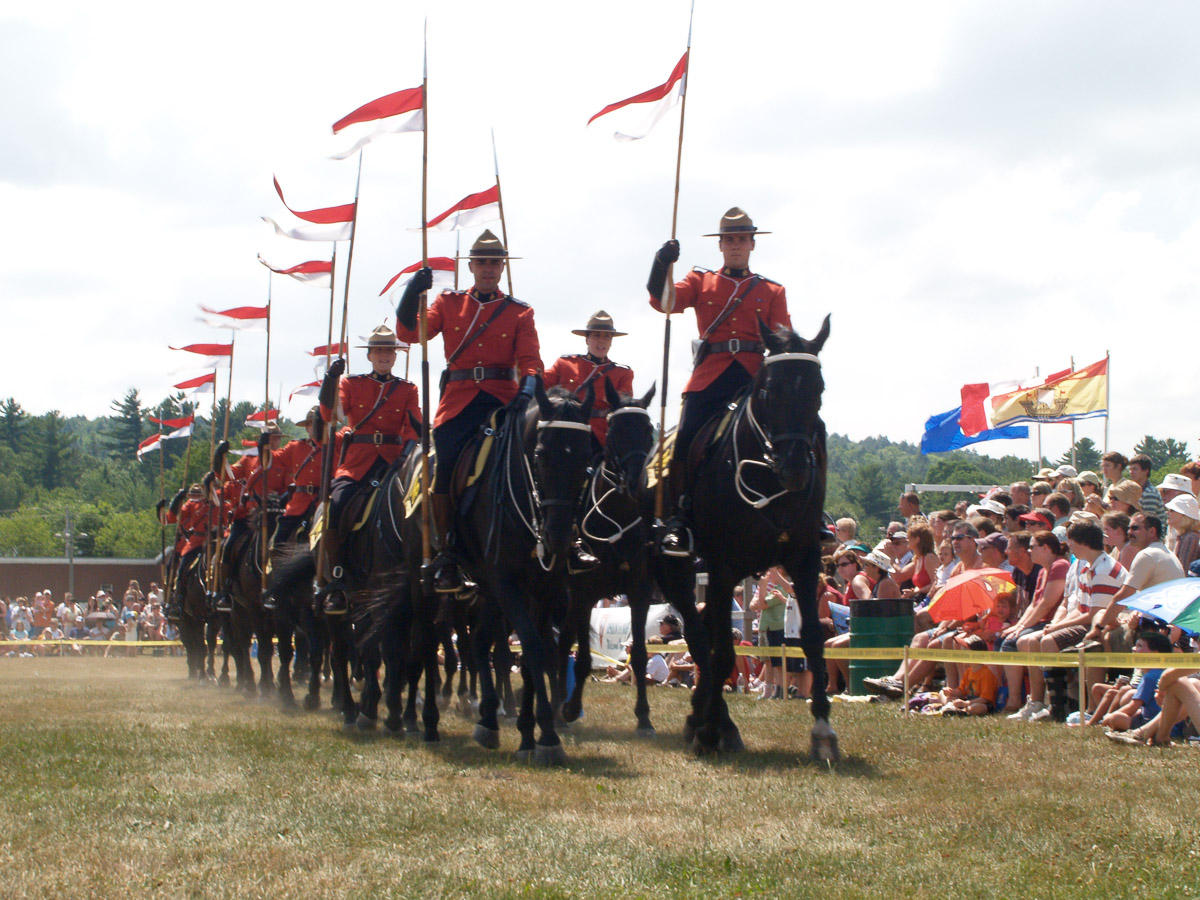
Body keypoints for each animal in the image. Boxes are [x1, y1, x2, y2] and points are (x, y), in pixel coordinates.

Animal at [451, 384, 595, 763]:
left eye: (586, 459)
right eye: (541, 454)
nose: (559, 537)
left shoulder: (544, 589)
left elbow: (538, 653)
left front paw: (530, 733)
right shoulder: (507, 583)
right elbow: (532, 646)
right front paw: (547, 735)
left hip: (488, 594)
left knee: (479, 643)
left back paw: (488, 717)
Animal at [559, 384, 657, 734]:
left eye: (648, 430)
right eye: (615, 431)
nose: (635, 483)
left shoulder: (640, 593)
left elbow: (640, 654)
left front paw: (643, 716)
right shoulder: (584, 595)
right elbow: (584, 658)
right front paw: (572, 708)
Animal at [657, 316, 835, 763]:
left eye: (818, 389)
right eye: (769, 391)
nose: (795, 468)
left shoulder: (805, 560)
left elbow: (812, 639)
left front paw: (823, 730)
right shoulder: (722, 568)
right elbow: (722, 652)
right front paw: (709, 731)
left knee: (701, 639)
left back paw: (705, 717)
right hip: (674, 571)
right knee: (701, 639)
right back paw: (711, 722)